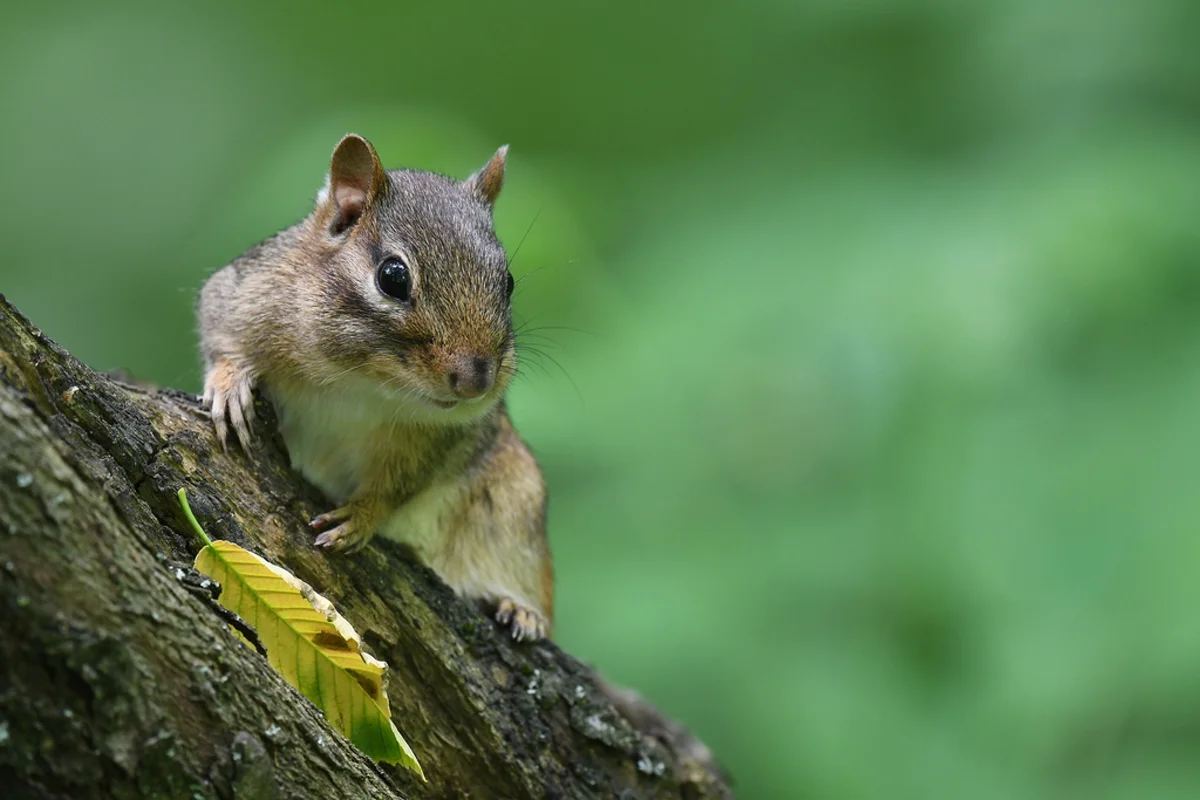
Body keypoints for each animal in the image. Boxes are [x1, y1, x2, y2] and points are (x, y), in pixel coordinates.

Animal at [197, 133, 552, 641]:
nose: (477, 381)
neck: (362, 381)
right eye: (393, 277)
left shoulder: (440, 438)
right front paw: (229, 384)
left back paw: (521, 609)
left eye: (507, 280)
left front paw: (364, 513)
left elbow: (402, 483)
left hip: (517, 503)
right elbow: (219, 333)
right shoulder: (243, 291)